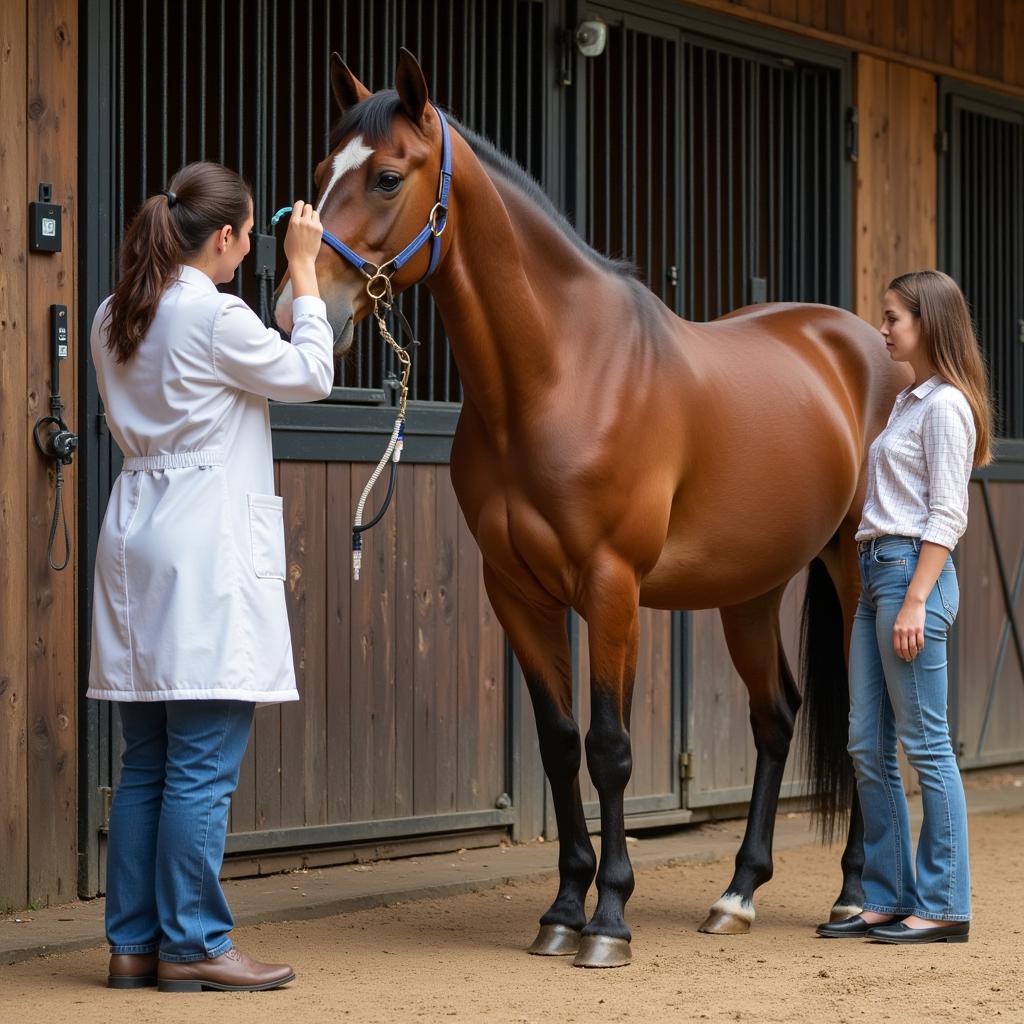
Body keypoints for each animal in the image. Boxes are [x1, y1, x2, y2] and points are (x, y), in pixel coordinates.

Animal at [274, 49, 913, 966]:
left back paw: (855, 895)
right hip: (749, 589)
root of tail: (871, 348)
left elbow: (610, 748)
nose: (297, 312)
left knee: (867, 717)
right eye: (324, 171)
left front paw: (608, 918)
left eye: (389, 176)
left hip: (857, 573)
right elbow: (557, 743)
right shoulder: (517, 591)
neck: (561, 371)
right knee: (775, 716)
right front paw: (561, 910)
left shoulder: (612, 587)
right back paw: (737, 895)